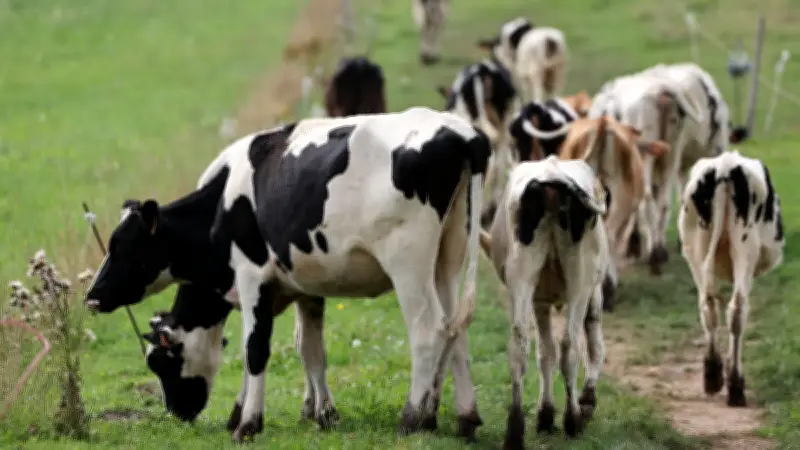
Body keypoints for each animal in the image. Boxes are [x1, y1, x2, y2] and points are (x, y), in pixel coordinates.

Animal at [84, 107, 491, 443]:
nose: (92, 296)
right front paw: (318, 414)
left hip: (408, 263)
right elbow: (309, 350)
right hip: (447, 259)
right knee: (456, 328)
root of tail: (462, 133)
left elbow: (255, 350)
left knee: (428, 331)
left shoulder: (253, 279)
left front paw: (248, 425)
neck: (221, 206)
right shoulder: (304, 287)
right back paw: (461, 417)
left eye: (122, 247)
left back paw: (412, 418)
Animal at [478, 155, 610, 448]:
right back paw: (572, 420)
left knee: (519, 346)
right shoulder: (594, 291)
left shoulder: (538, 300)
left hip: (521, 277)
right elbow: (594, 345)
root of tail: (552, 174)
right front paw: (585, 403)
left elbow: (544, 352)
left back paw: (514, 431)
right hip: (580, 281)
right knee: (570, 345)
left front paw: (545, 414)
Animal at [589, 68, 705, 275]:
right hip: (671, 153)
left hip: (647, 155)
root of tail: (661, 89)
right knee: (664, 201)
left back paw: (654, 254)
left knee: (648, 198)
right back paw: (659, 249)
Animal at [678, 150, 784, 408]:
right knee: (737, 309)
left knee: (708, 306)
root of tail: (726, 166)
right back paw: (735, 385)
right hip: (746, 248)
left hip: (696, 248)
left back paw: (712, 376)